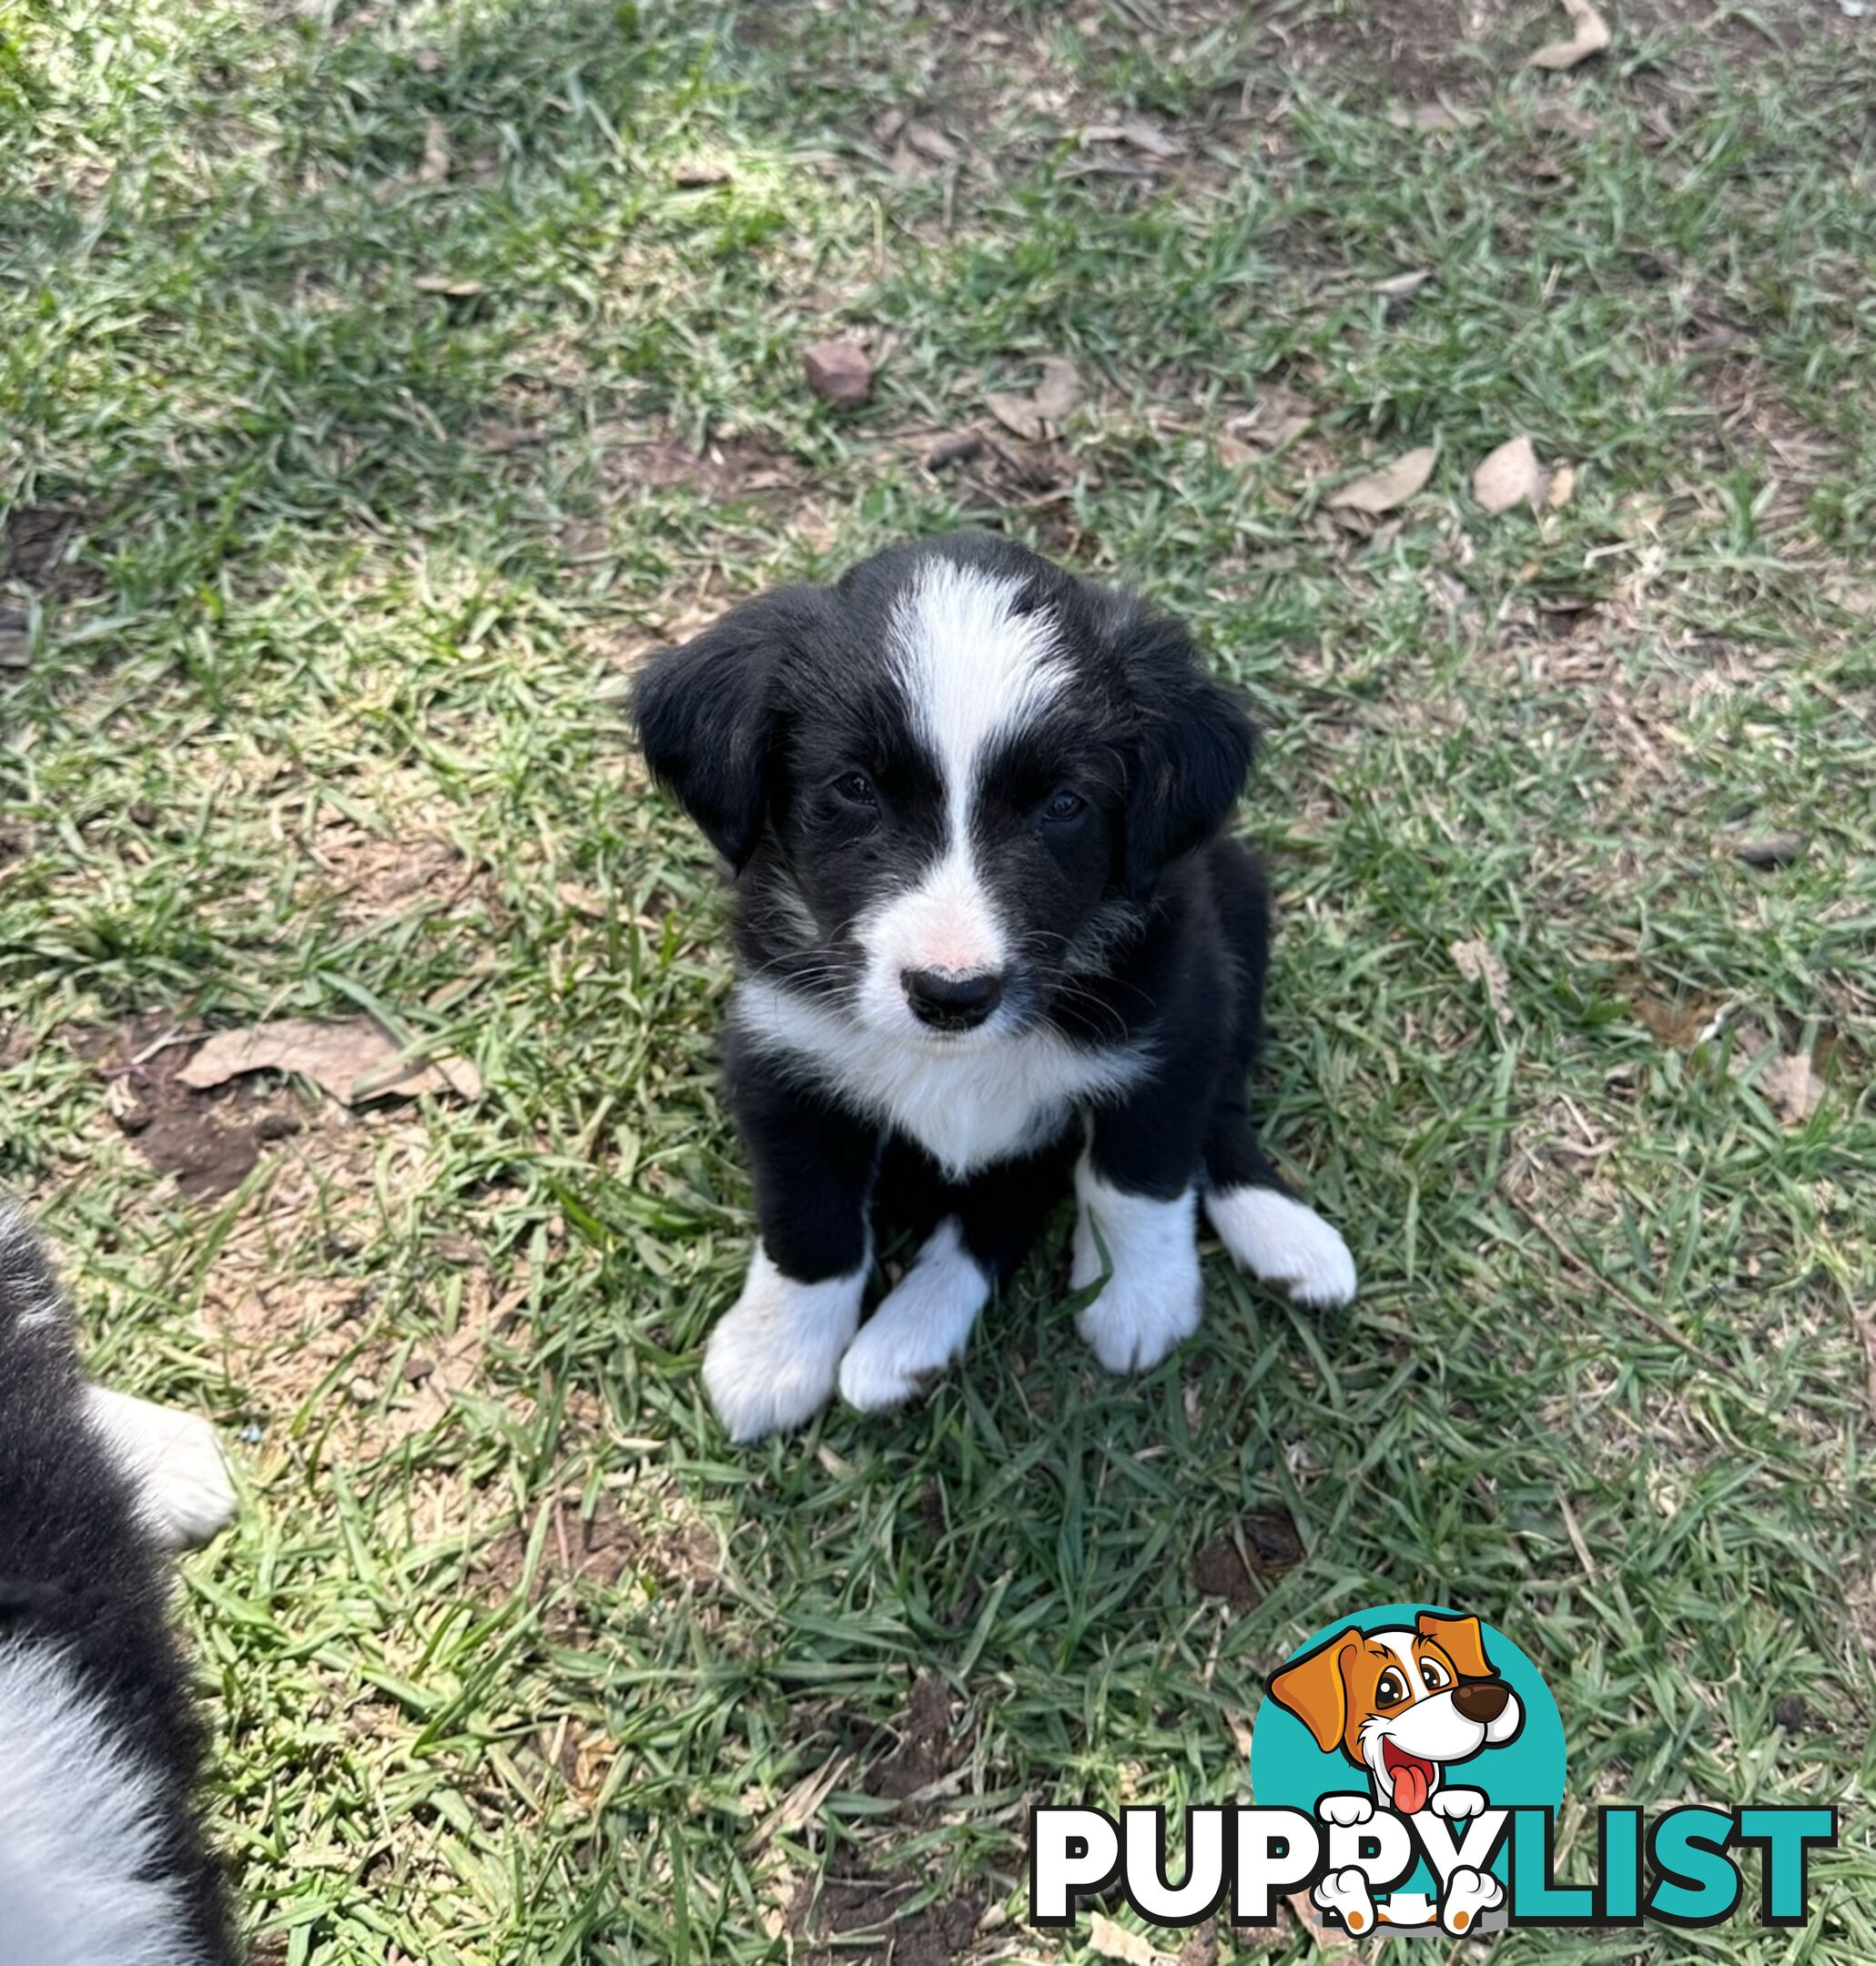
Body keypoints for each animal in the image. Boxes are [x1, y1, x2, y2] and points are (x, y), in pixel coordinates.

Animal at [636, 531, 1353, 1439]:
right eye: (854, 787)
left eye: (1065, 803)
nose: (951, 995)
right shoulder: (782, 1052)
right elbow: (809, 1216)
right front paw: (774, 1355)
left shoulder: (1173, 1020)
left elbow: (1136, 1173)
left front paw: (1139, 1296)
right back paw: (906, 1342)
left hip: (1235, 904)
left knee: (1211, 1112)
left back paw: (1280, 1232)